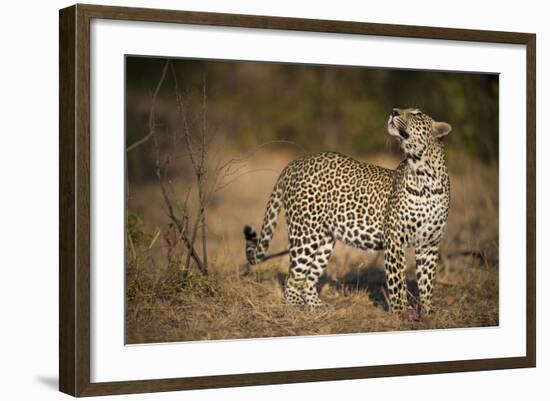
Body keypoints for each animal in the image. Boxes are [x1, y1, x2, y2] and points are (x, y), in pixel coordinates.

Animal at [245, 108, 452, 316]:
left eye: (416, 114)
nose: (394, 111)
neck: (425, 176)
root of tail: (294, 163)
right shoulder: (394, 238)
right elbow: (397, 282)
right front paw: (401, 313)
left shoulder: (430, 244)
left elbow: (427, 281)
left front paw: (428, 311)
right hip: (305, 233)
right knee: (294, 278)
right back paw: (297, 309)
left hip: (324, 239)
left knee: (309, 278)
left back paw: (318, 307)